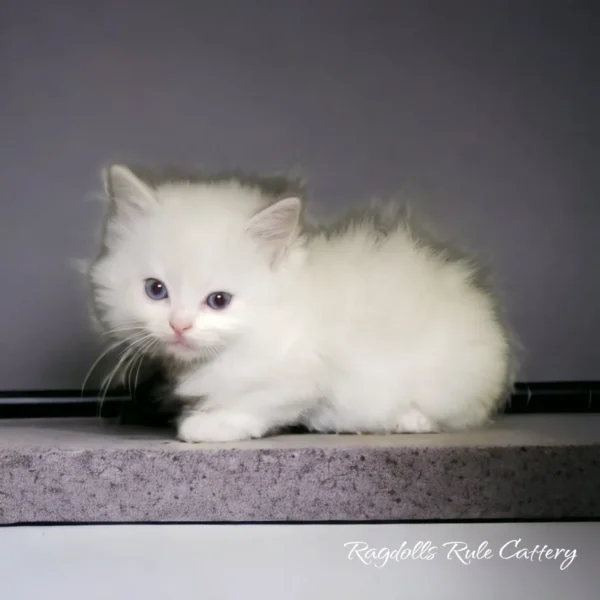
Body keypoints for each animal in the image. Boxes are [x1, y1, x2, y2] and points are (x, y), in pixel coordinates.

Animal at [89, 164, 516, 440]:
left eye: (219, 300)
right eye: (155, 290)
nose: (179, 325)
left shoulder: (305, 372)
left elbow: (259, 402)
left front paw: (208, 424)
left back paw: (407, 420)